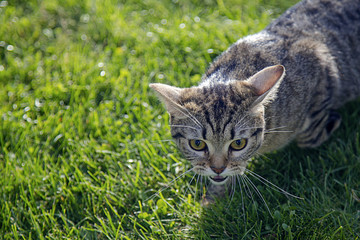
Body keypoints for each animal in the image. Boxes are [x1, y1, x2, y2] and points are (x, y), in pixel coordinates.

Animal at [149, 0, 360, 202]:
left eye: (238, 143)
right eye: (197, 144)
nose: (218, 168)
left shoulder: (321, 60)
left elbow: (310, 134)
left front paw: (330, 121)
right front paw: (214, 196)